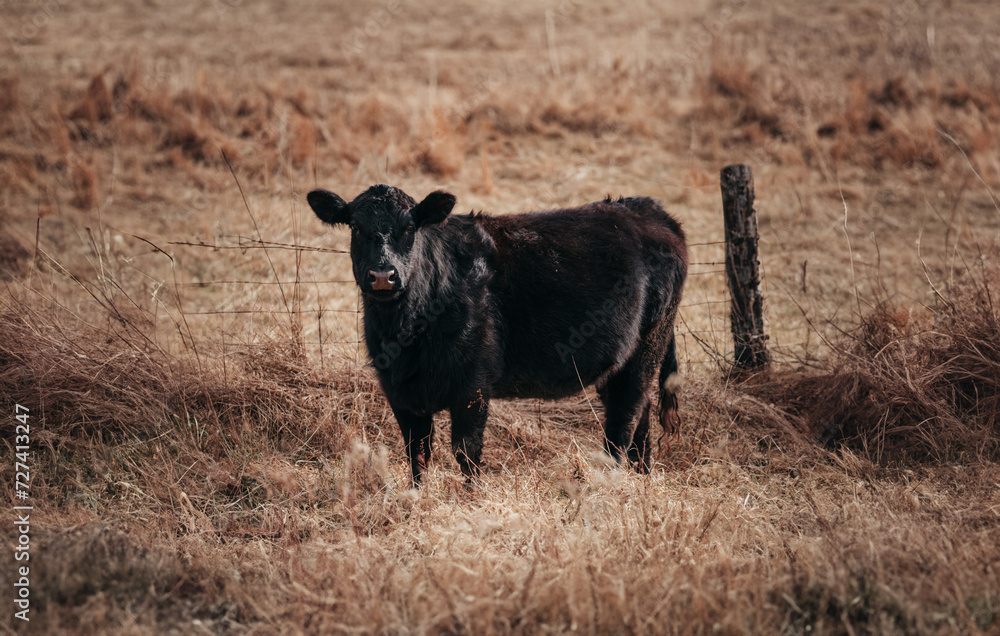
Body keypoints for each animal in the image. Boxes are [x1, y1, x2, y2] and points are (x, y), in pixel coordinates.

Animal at [307, 184, 687, 486]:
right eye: (356, 226)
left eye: (410, 226)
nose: (383, 276)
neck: (405, 333)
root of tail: (645, 207)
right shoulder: (398, 389)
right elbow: (417, 452)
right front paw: (416, 497)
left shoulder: (474, 382)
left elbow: (466, 451)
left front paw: (471, 499)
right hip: (620, 361)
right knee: (638, 414)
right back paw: (642, 477)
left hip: (647, 345)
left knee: (625, 419)